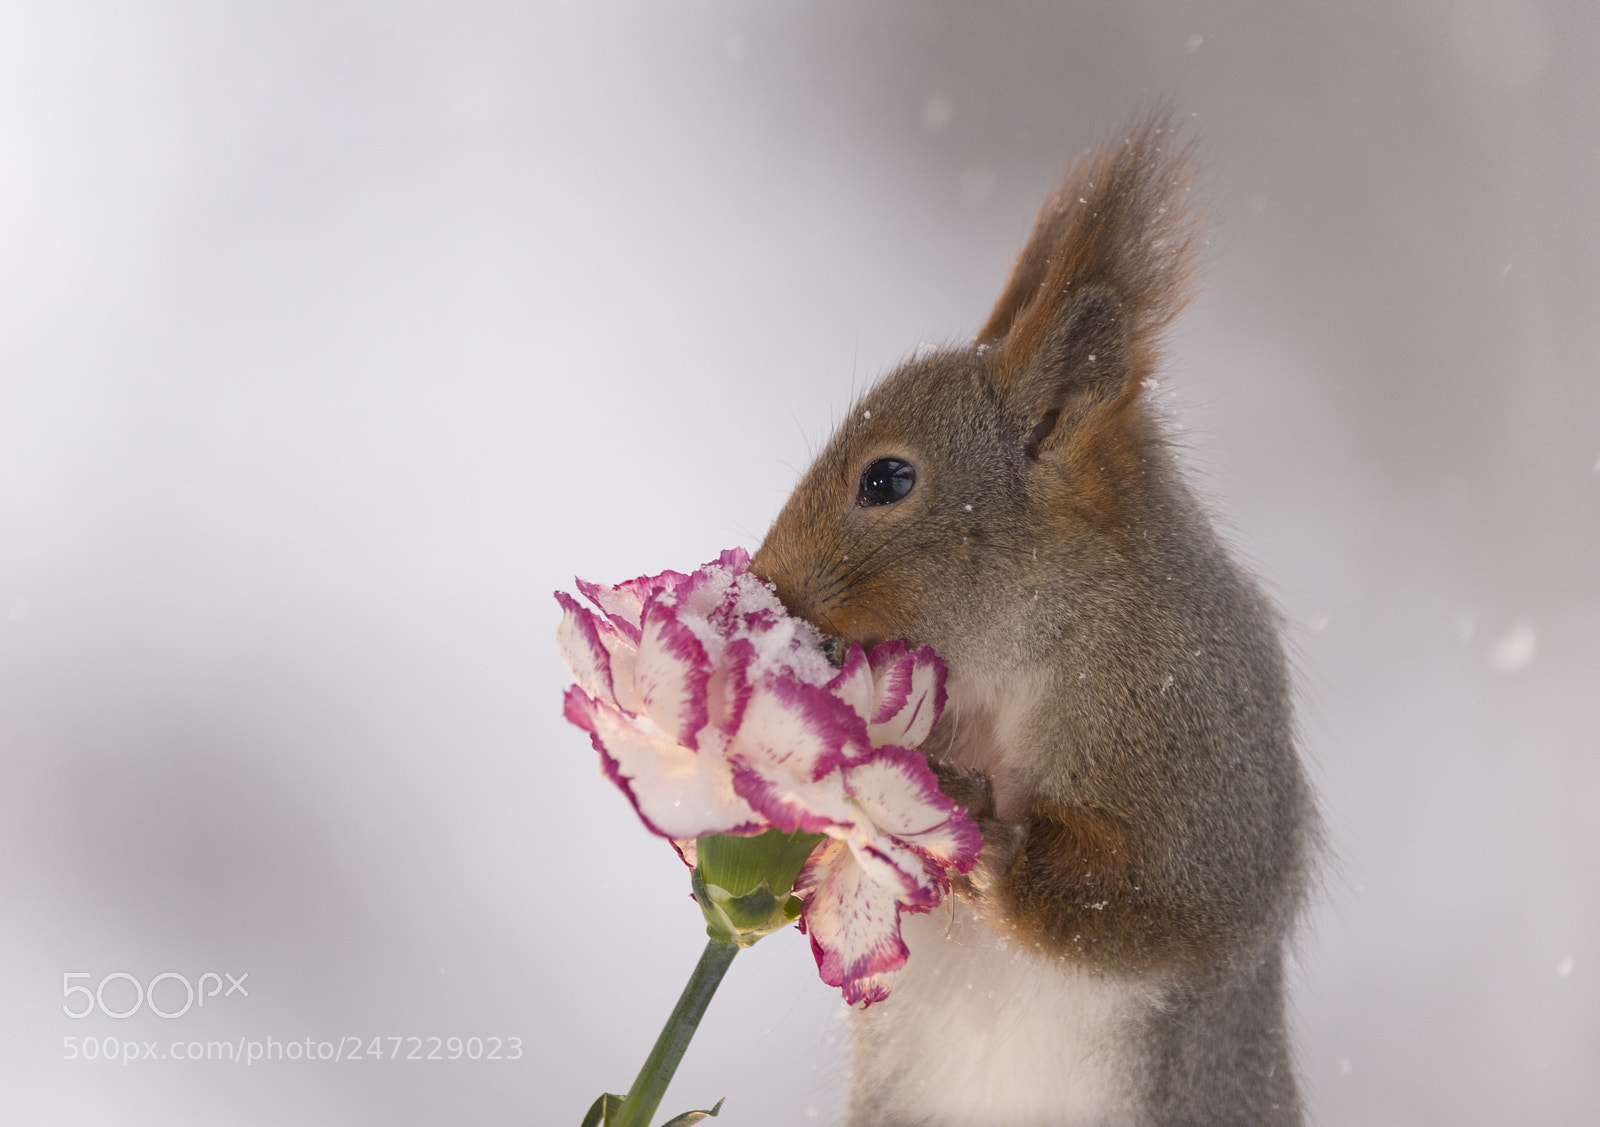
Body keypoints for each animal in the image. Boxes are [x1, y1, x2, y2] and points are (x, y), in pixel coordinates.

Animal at [749, 114, 1315, 1126]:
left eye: (887, 480)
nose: (767, 586)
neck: (1022, 648)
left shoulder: (1197, 743)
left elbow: (1166, 903)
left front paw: (999, 846)